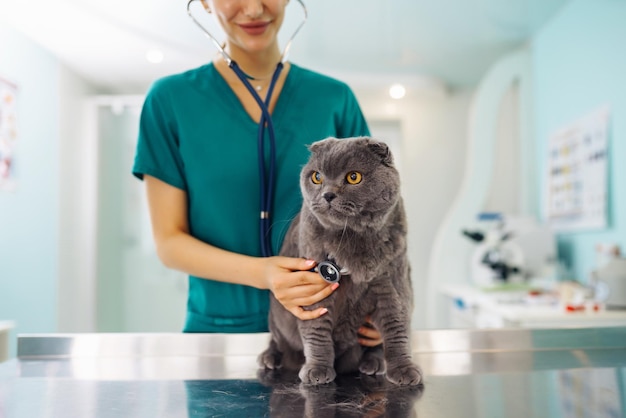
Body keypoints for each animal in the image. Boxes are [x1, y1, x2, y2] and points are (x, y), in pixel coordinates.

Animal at [256, 136, 422, 386]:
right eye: (317, 177)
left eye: (353, 177)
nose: (327, 194)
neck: (351, 237)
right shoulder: (313, 289)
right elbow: (316, 331)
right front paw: (317, 369)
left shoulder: (392, 284)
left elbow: (397, 328)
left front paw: (404, 369)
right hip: (275, 316)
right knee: (277, 339)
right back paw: (269, 357)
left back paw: (373, 362)